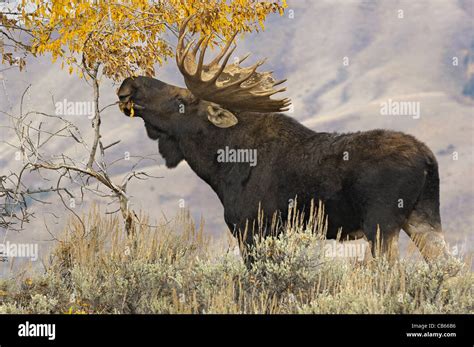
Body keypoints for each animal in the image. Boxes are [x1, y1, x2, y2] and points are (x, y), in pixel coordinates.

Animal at [116, 14, 450, 262]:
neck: (219, 167)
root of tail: (427, 159)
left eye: (180, 99)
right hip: (423, 216)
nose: (129, 84)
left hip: (382, 220)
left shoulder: (253, 227)